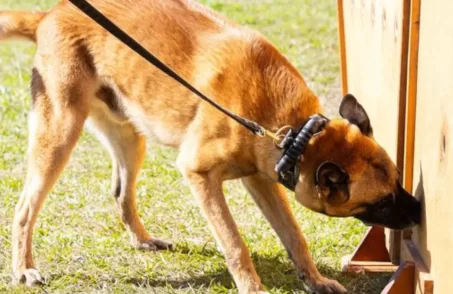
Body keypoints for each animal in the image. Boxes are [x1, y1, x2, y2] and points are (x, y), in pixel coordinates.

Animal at [0, 1, 420, 292]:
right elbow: (235, 244)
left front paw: (315, 280)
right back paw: (24, 269)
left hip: (130, 139)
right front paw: (252, 287)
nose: (418, 211)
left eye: (399, 179)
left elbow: (294, 236)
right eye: (382, 201)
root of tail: (51, 14)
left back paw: (143, 240)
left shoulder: (261, 180)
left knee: (120, 194)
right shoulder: (199, 174)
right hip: (59, 136)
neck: (294, 133)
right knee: (24, 209)